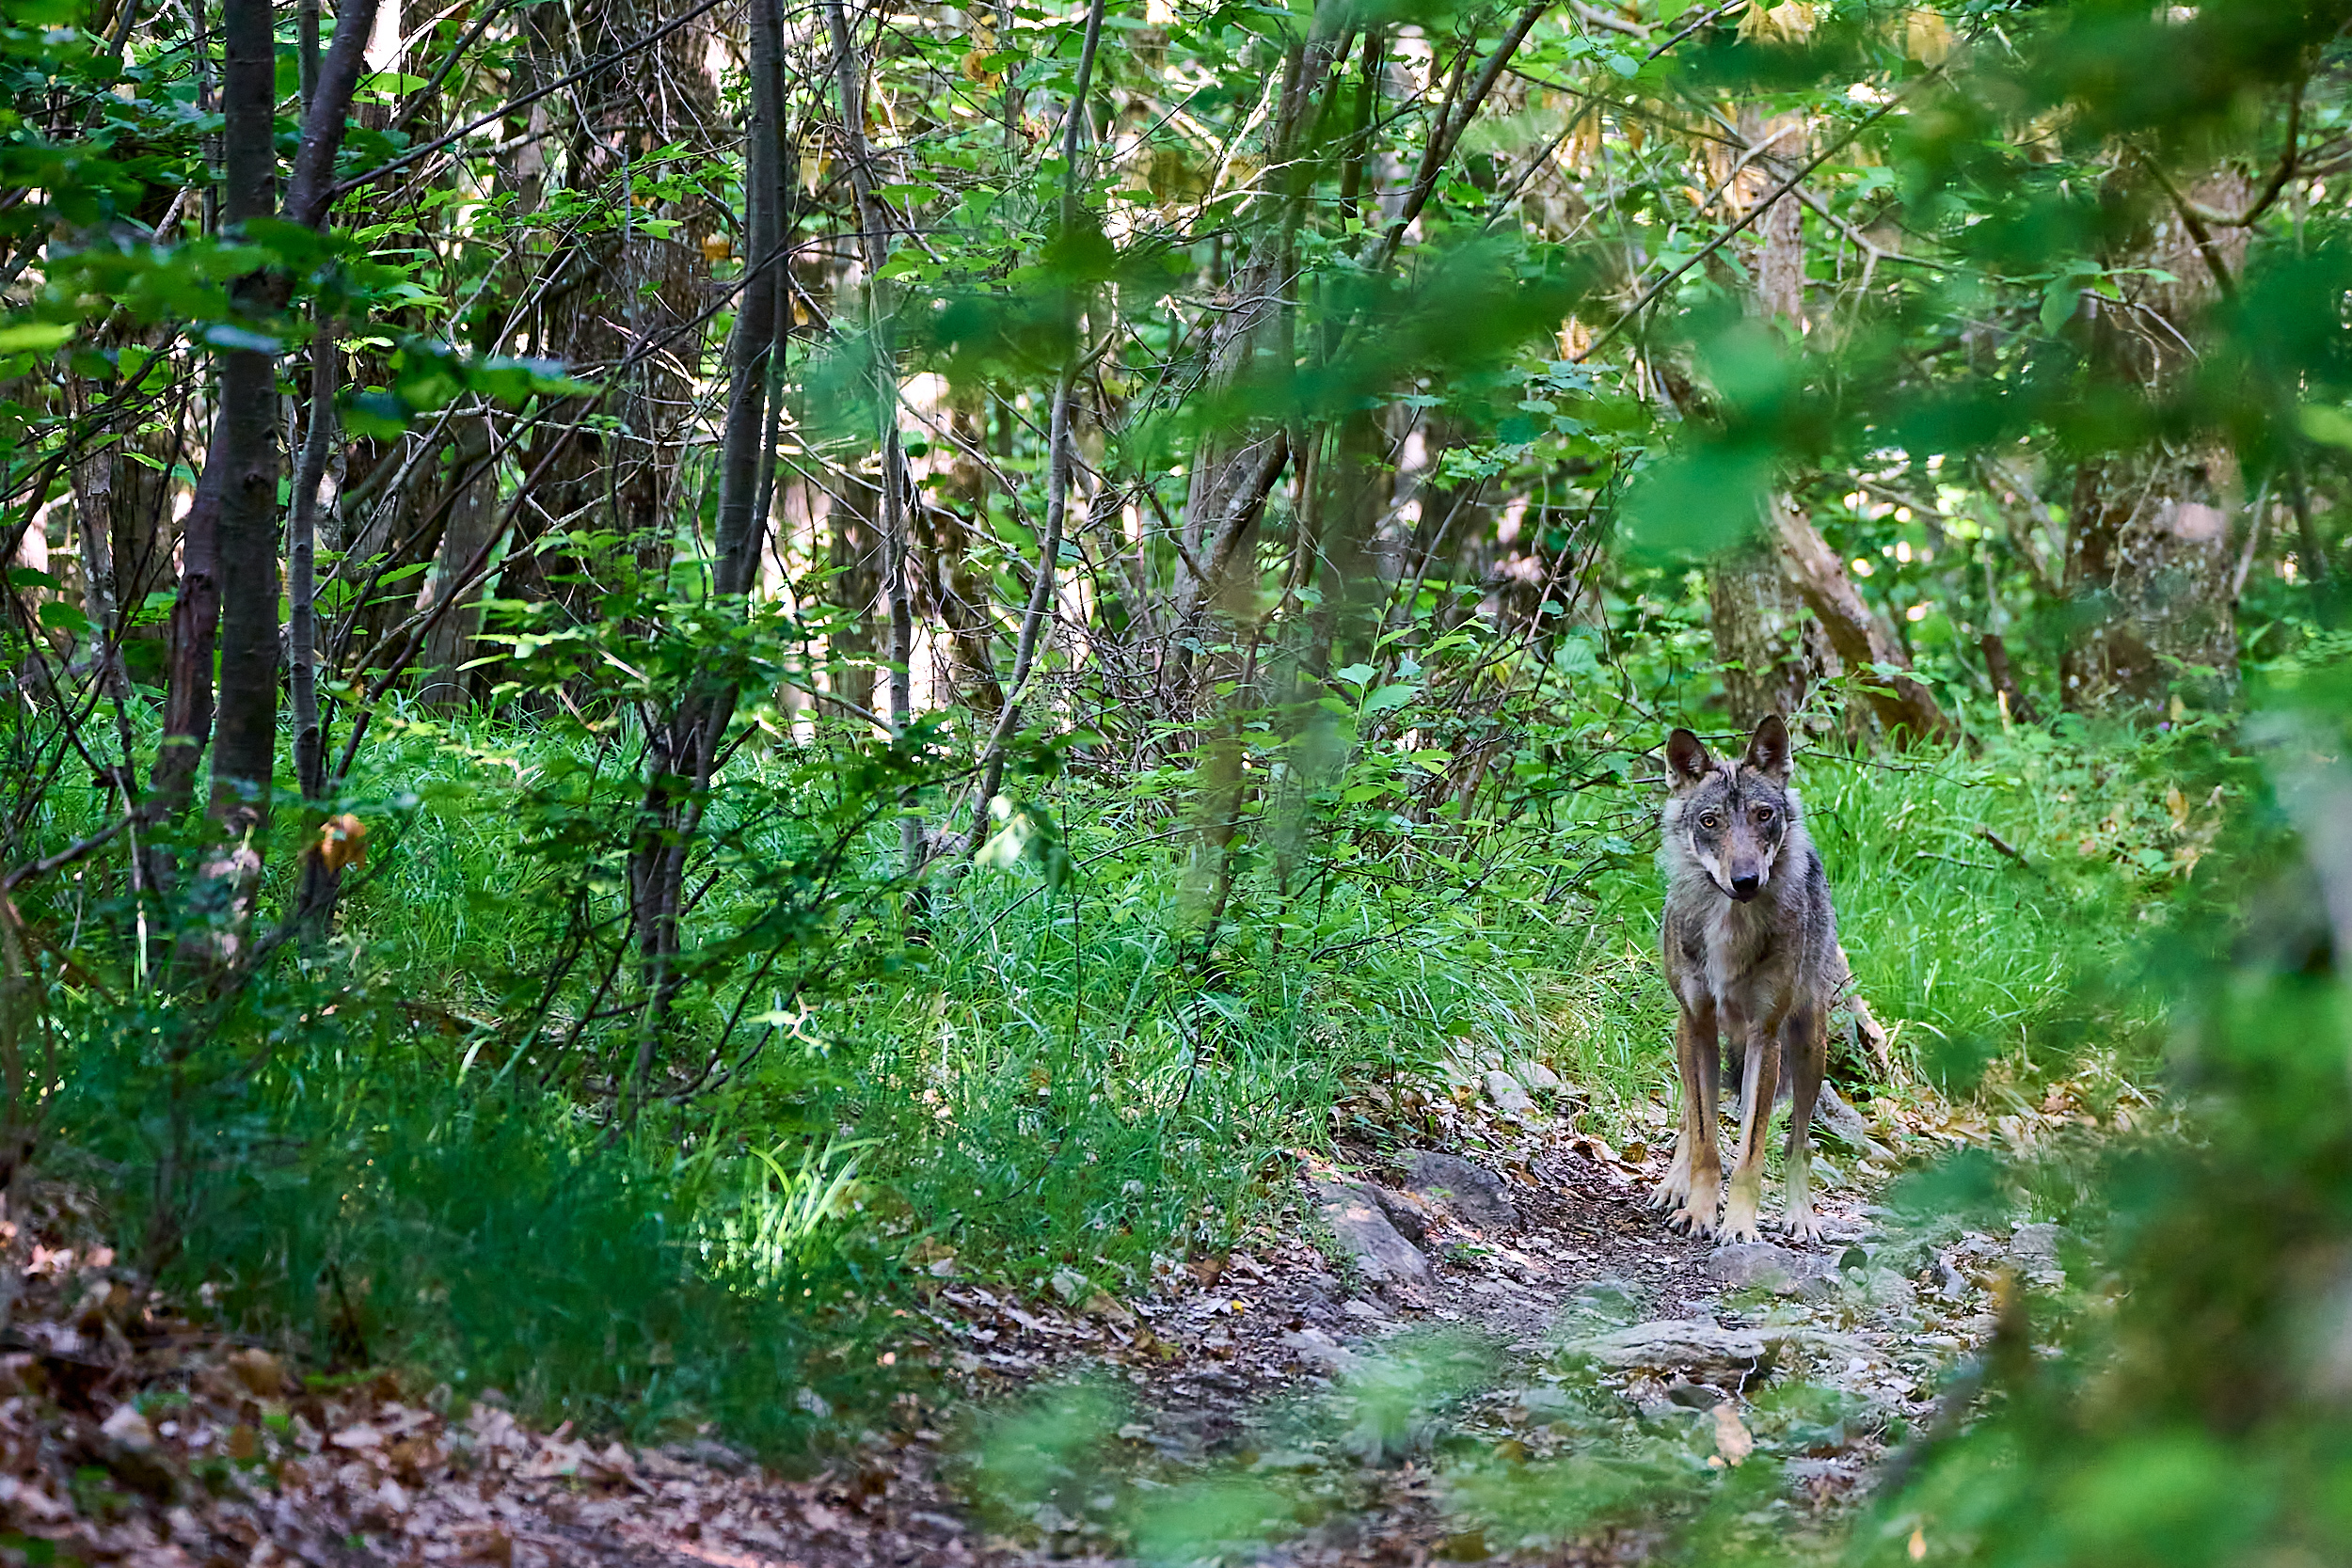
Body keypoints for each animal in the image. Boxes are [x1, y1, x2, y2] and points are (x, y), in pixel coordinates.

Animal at [1656, 719, 1835, 1241]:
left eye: (1763, 815)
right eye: (1709, 821)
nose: (1746, 880)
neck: (1729, 925)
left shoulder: (1764, 1034)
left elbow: (1751, 1152)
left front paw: (1737, 1226)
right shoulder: (1696, 1024)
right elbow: (1705, 1141)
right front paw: (1697, 1212)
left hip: (1808, 1045)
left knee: (1798, 1144)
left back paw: (1801, 1217)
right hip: (1689, 1038)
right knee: (1688, 1122)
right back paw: (1672, 1186)